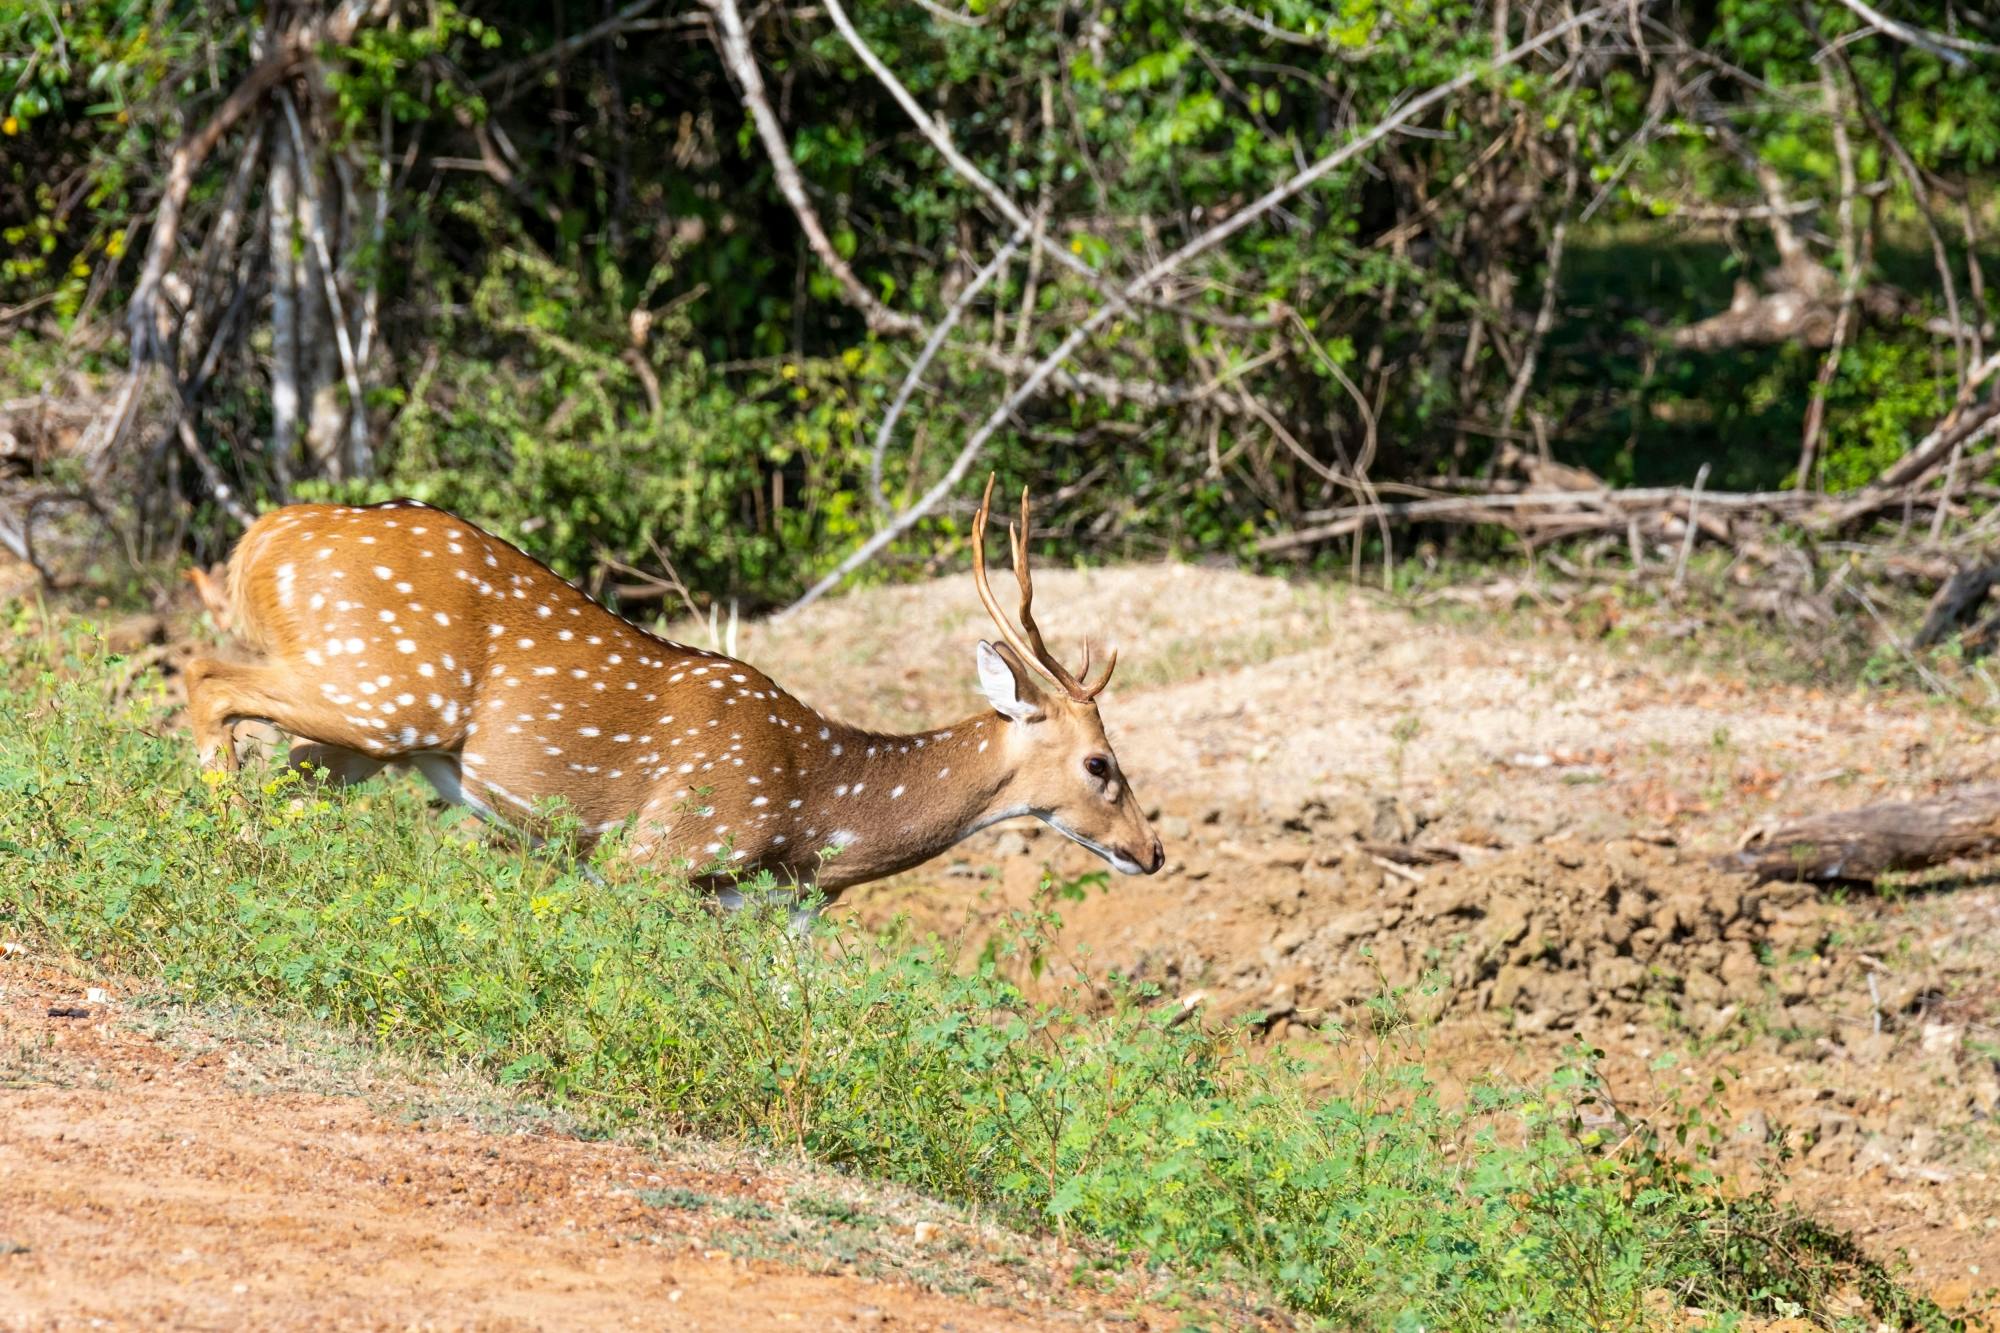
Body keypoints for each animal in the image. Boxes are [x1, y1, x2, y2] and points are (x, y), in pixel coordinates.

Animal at [186, 478, 1168, 892]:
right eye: (1101, 763)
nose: (1154, 850)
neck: (814, 814)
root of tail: (267, 539)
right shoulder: (658, 852)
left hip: (372, 730)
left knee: (279, 768)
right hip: (387, 691)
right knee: (205, 673)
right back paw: (232, 849)